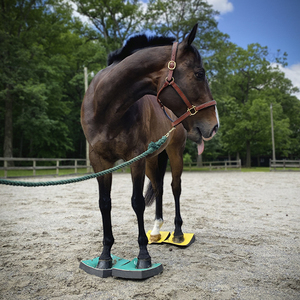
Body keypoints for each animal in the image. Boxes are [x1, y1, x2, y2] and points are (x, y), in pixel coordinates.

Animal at [81, 24, 219, 270]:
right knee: (159, 187)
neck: (106, 107)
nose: (214, 125)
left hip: (173, 154)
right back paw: (155, 231)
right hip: (152, 159)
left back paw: (177, 233)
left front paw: (143, 256)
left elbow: (137, 203)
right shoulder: (99, 160)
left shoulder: (135, 158)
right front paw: (105, 256)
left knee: (175, 187)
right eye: (199, 74)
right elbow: (104, 203)